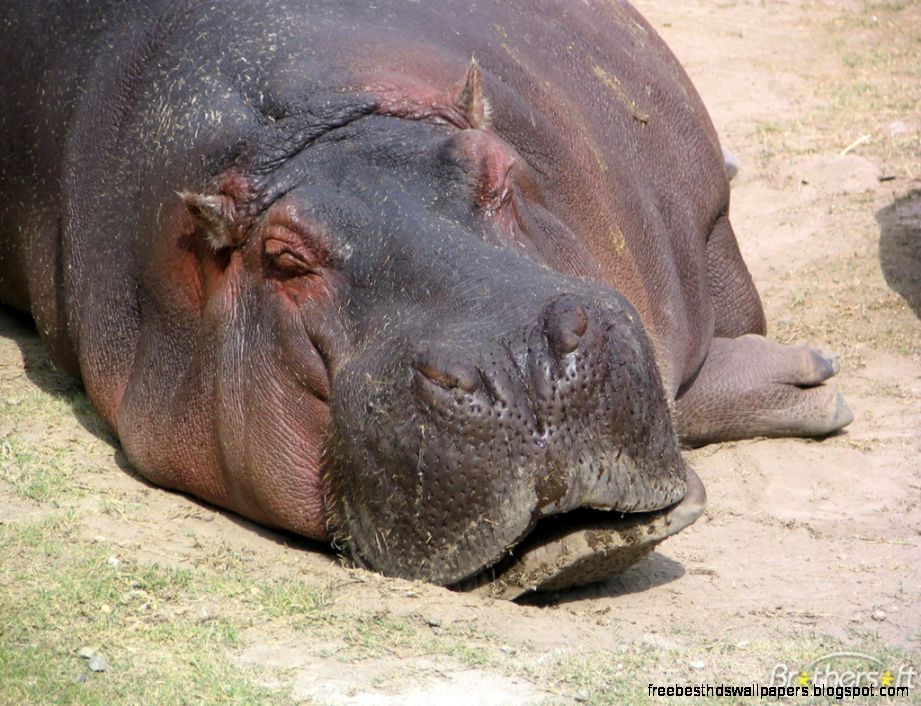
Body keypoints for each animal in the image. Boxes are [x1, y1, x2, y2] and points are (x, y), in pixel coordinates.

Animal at [0, 0, 851, 597]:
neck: (314, 124)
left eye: (498, 169)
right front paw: (813, 383)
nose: (519, 362)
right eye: (283, 258)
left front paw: (813, 381)